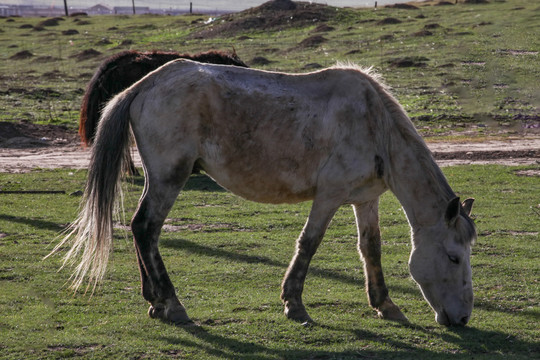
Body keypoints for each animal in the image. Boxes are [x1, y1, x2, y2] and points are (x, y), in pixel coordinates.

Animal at [52, 61, 476, 326]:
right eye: (454, 257)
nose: (463, 318)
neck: (375, 125)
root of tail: (145, 84)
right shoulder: (329, 196)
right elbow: (309, 243)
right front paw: (295, 305)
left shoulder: (364, 199)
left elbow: (370, 248)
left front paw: (385, 305)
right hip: (170, 178)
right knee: (147, 228)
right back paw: (171, 304)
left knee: (143, 231)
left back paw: (154, 301)